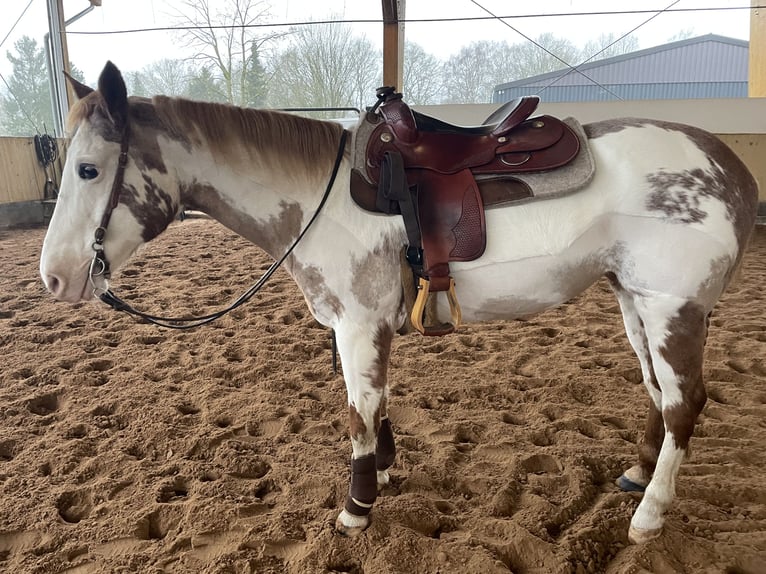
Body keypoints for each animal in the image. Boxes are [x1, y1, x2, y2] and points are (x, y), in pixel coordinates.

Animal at [40, 62, 756, 544]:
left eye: (89, 169)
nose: (54, 278)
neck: (320, 197)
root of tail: (727, 164)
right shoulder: (357, 326)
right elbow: (374, 407)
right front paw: (382, 475)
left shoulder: (358, 325)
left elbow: (357, 413)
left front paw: (356, 509)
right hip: (635, 302)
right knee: (658, 394)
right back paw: (637, 476)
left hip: (674, 310)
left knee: (685, 402)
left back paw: (649, 515)